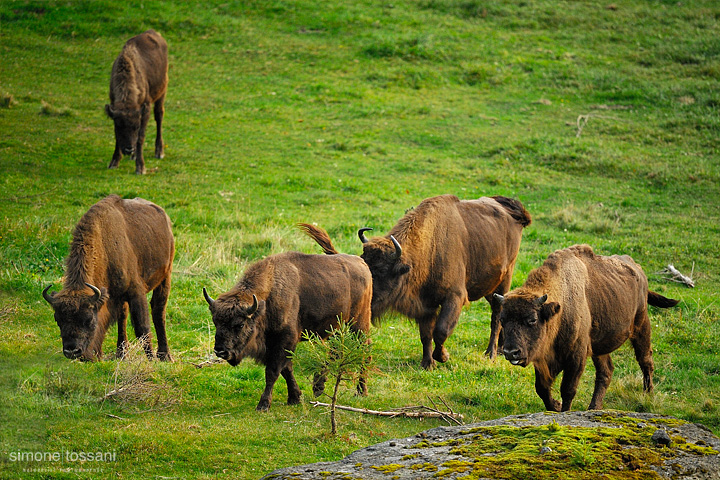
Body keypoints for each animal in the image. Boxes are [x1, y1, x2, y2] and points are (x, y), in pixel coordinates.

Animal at [43, 194, 176, 360]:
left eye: (88, 319)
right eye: (57, 319)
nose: (72, 351)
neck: (104, 250)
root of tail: (164, 216)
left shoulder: (136, 292)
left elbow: (142, 327)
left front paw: (151, 359)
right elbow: (122, 319)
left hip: (166, 276)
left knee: (158, 311)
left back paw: (165, 355)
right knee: (123, 317)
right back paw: (121, 353)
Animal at [105, 29, 168, 174]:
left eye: (136, 126)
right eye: (119, 126)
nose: (129, 149)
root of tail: (155, 33)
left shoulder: (145, 109)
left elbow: (141, 137)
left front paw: (140, 168)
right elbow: (117, 138)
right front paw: (114, 162)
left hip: (162, 92)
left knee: (159, 116)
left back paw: (159, 152)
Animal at [202, 249, 372, 410]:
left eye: (240, 325)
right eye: (215, 322)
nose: (220, 351)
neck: (268, 296)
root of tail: (362, 264)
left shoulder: (284, 341)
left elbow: (273, 372)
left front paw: (263, 404)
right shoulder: (277, 345)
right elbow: (286, 370)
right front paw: (295, 398)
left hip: (358, 325)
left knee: (363, 351)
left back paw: (360, 391)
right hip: (336, 328)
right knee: (336, 351)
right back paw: (318, 386)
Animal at [300, 193, 532, 370]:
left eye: (382, 271)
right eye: (365, 264)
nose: (363, 299)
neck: (430, 247)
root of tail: (515, 212)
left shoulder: (454, 297)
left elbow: (441, 330)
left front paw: (443, 357)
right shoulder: (425, 305)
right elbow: (426, 334)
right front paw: (427, 363)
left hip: (505, 278)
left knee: (496, 316)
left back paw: (491, 353)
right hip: (489, 288)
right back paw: (501, 348)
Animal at [496, 246, 680, 410]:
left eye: (532, 320)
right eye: (502, 319)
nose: (510, 352)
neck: (560, 307)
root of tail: (638, 270)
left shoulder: (576, 357)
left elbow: (568, 390)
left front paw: (563, 410)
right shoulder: (543, 359)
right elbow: (542, 389)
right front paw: (555, 406)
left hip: (641, 326)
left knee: (646, 361)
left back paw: (648, 395)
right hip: (600, 346)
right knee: (606, 372)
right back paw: (594, 407)